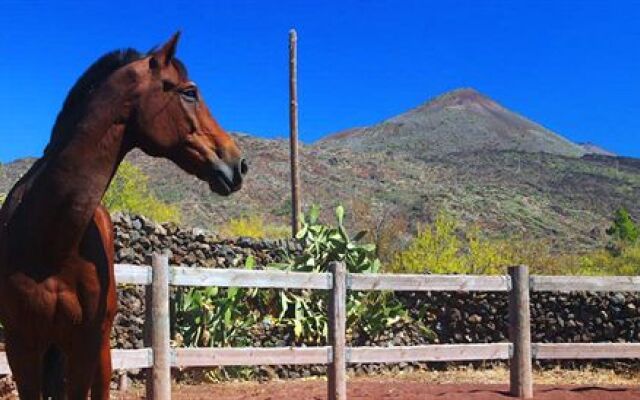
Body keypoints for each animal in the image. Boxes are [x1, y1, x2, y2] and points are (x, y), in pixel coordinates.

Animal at [0, 32, 248, 398]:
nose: (238, 164)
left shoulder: (85, 343)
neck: (48, 240)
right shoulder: (22, 346)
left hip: (98, 348)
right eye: (189, 92)